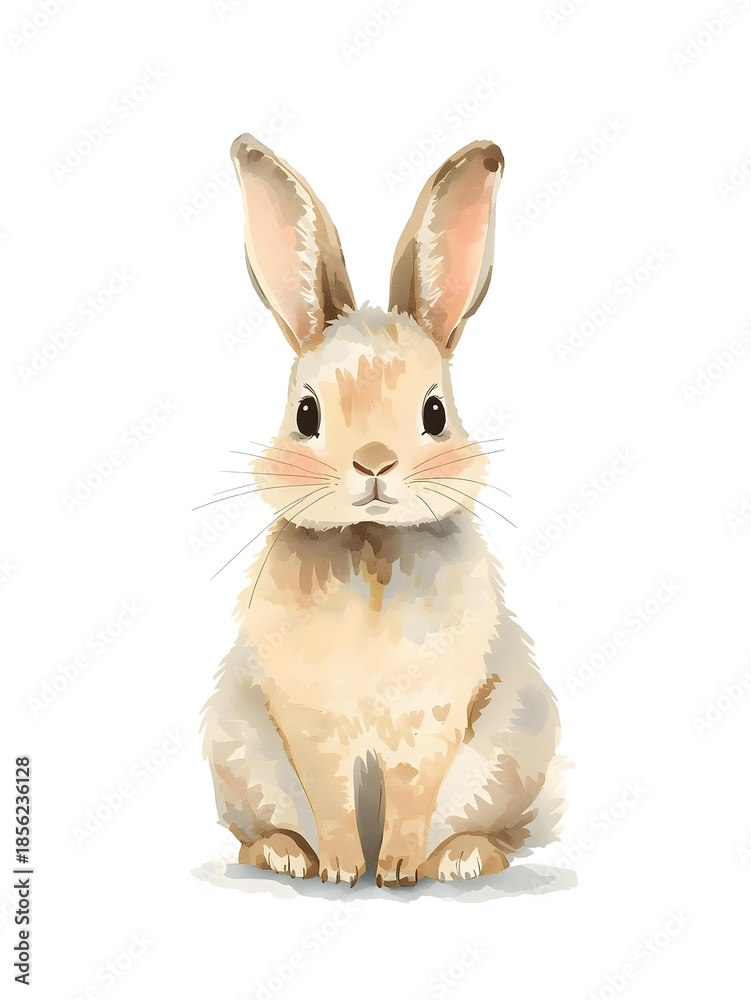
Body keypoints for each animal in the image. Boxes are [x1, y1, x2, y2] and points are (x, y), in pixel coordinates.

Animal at [201, 133, 563, 887]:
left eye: (434, 413)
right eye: (306, 413)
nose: (372, 465)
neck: (370, 541)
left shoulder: (428, 722)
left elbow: (411, 795)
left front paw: (395, 870)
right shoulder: (310, 722)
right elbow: (331, 797)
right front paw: (343, 869)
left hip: (510, 754)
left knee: (500, 833)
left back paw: (458, 860)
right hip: (239, 751)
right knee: (255, 830)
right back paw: (287, 854)